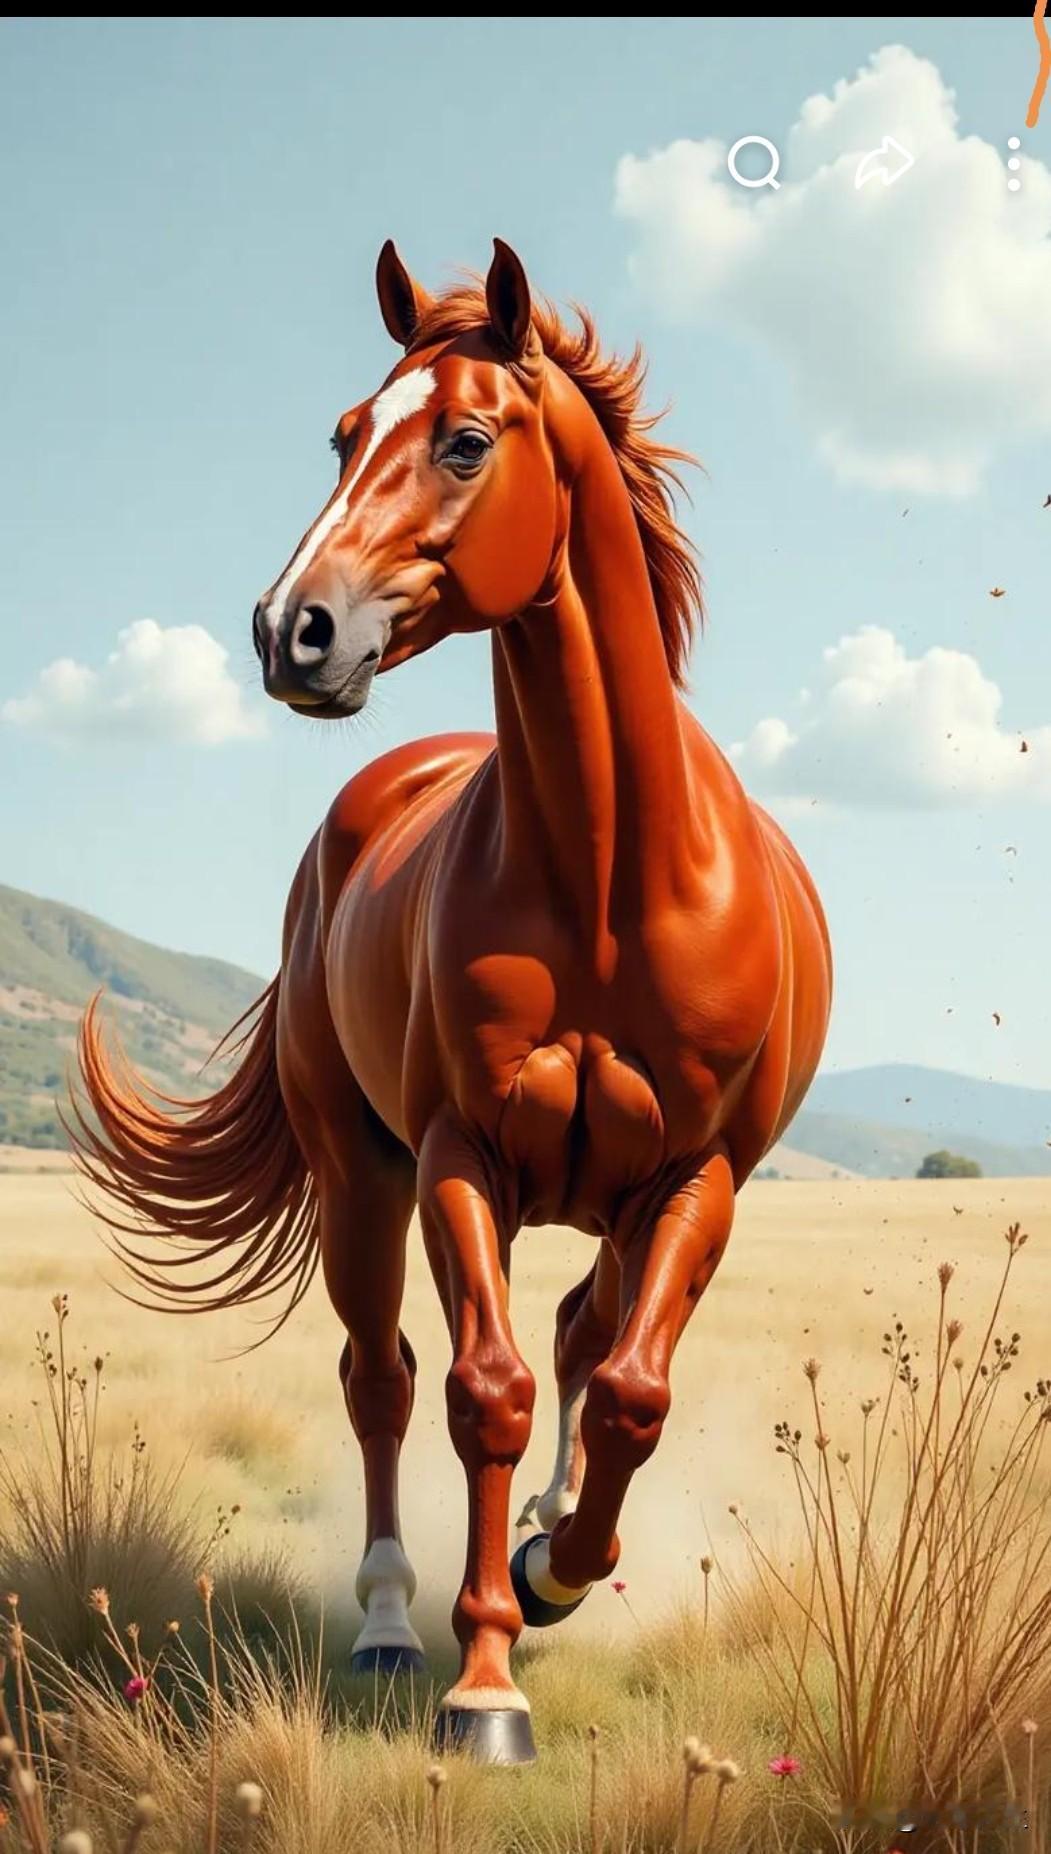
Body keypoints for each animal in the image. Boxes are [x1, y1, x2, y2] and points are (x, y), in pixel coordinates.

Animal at [69, 238, 832, 1765]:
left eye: (467, 440)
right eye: (343, 435)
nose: (289, 631)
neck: (608, 872)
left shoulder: (695, 1175)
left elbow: (629, 1392)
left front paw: (554, 1567)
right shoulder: (454, 1158)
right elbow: (485, 1390)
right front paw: (485, 1679)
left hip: (605, 1205)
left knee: (586, 1338)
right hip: (359, 1175)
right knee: (384, 1375)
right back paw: (382, 1621)